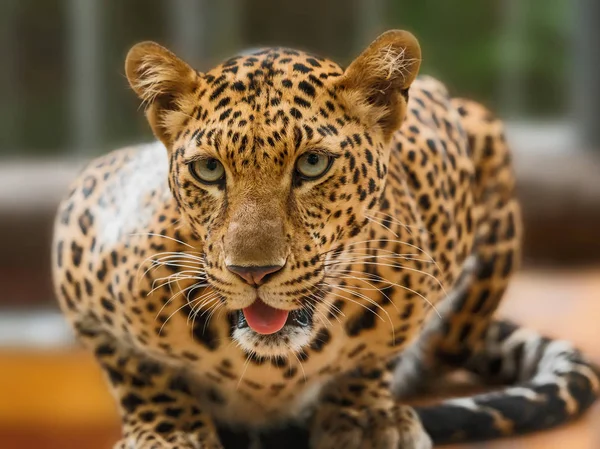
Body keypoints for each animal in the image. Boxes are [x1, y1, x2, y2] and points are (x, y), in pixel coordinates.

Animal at [54, 29, 596, 446]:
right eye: (208, 170)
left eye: (312, 163)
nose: (254, 273)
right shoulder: (81, 226)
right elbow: (136, 371)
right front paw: (170, 432)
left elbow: (380, 354)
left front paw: (365, 417)